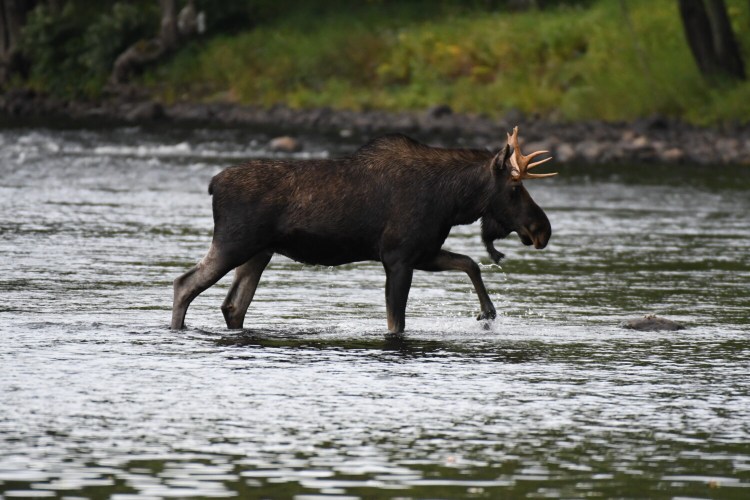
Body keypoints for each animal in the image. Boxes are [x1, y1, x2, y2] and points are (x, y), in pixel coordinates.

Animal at [173, 127, 556, 334]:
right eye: (514, 188)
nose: (543, 229)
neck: (452, 202)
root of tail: (213, 184)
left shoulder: (422, 251)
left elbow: (470, 263)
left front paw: (487, 314)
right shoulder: (398, 257)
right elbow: (396, 322)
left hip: (259, 252)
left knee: (232, 306)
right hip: (233, 242)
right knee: (185, 284)